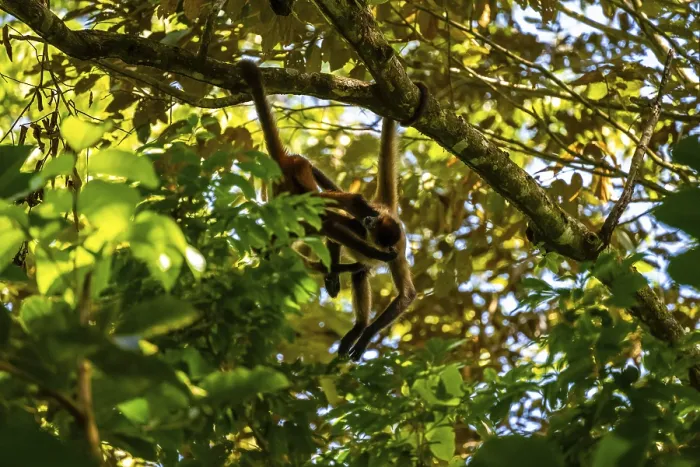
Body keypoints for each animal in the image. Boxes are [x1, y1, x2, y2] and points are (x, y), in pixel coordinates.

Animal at [237, 60, 399, 265]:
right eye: (376, 232)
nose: (369, 222)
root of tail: (282, 161)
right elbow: (330, 223)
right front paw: (378, 255)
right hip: (298, 170)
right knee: (318, 198)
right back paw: (355, 203)